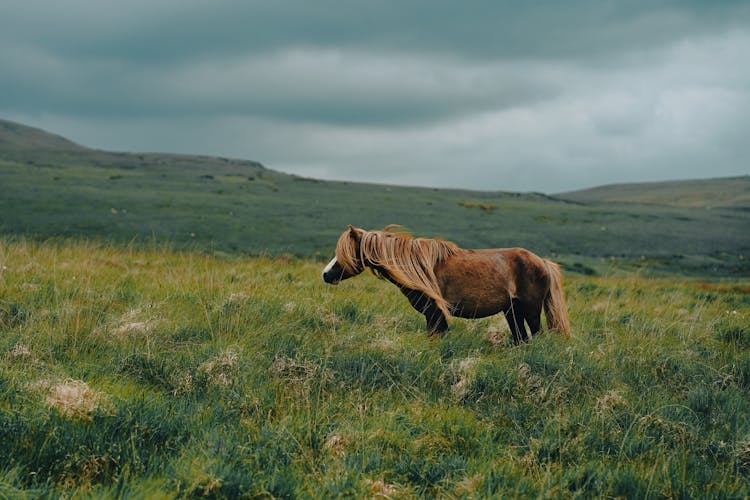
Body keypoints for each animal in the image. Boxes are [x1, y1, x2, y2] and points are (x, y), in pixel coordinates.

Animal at [320, 226, 572, 344]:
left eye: (344, 253)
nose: (325, 274)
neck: (418, 267)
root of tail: (542, 261)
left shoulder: (434, 312)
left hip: (530, 310)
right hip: (512, 311)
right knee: (522, 339)